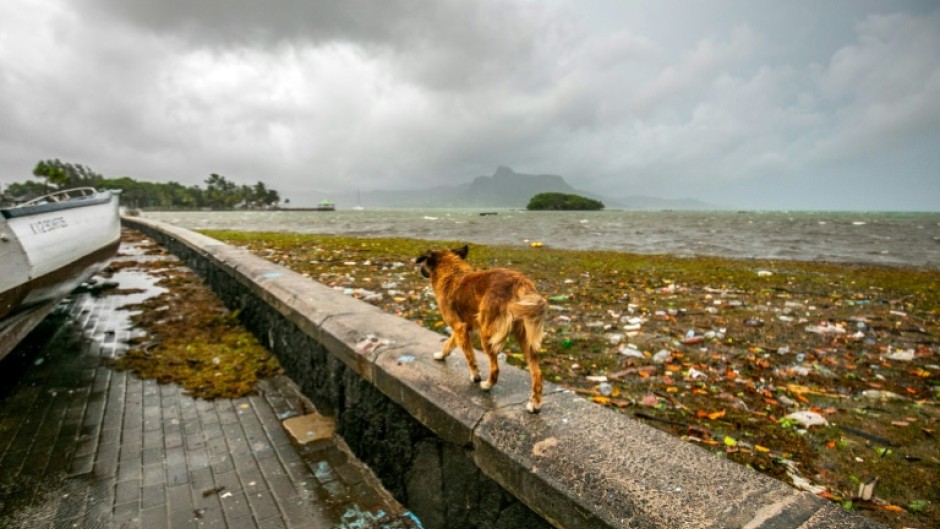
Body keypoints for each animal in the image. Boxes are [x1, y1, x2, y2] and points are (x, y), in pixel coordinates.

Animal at [416, 244, 548, 412]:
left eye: (424, 261)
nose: (420, 269)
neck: (451, 272)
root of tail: (519, 283)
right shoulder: (464, 327)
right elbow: (450, 343)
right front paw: (441, 355)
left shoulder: (459, 326)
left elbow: (469, 355)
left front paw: (475, 375)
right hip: (525, 337)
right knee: (537, 372)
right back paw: (535, 403)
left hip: (487, 335)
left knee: (495, 368)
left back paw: (487, 385)